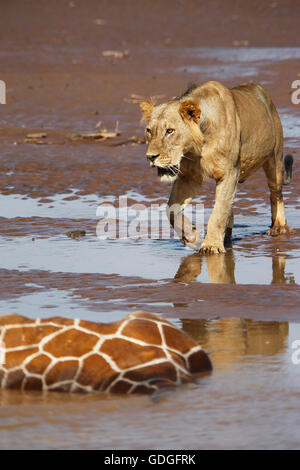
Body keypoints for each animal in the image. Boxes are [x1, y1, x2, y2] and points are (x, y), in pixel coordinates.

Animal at [140, 82, 292, 255]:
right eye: (149, 131)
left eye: (170, 131)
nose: (150, 157)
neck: (197, 148)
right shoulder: (189, 178)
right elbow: (171, 209)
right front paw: (191, 237)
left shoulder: (229, 173)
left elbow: (218, 213)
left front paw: (211, 246)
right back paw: (227, 238)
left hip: (274, 159)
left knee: (276, 193)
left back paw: (278, 227)